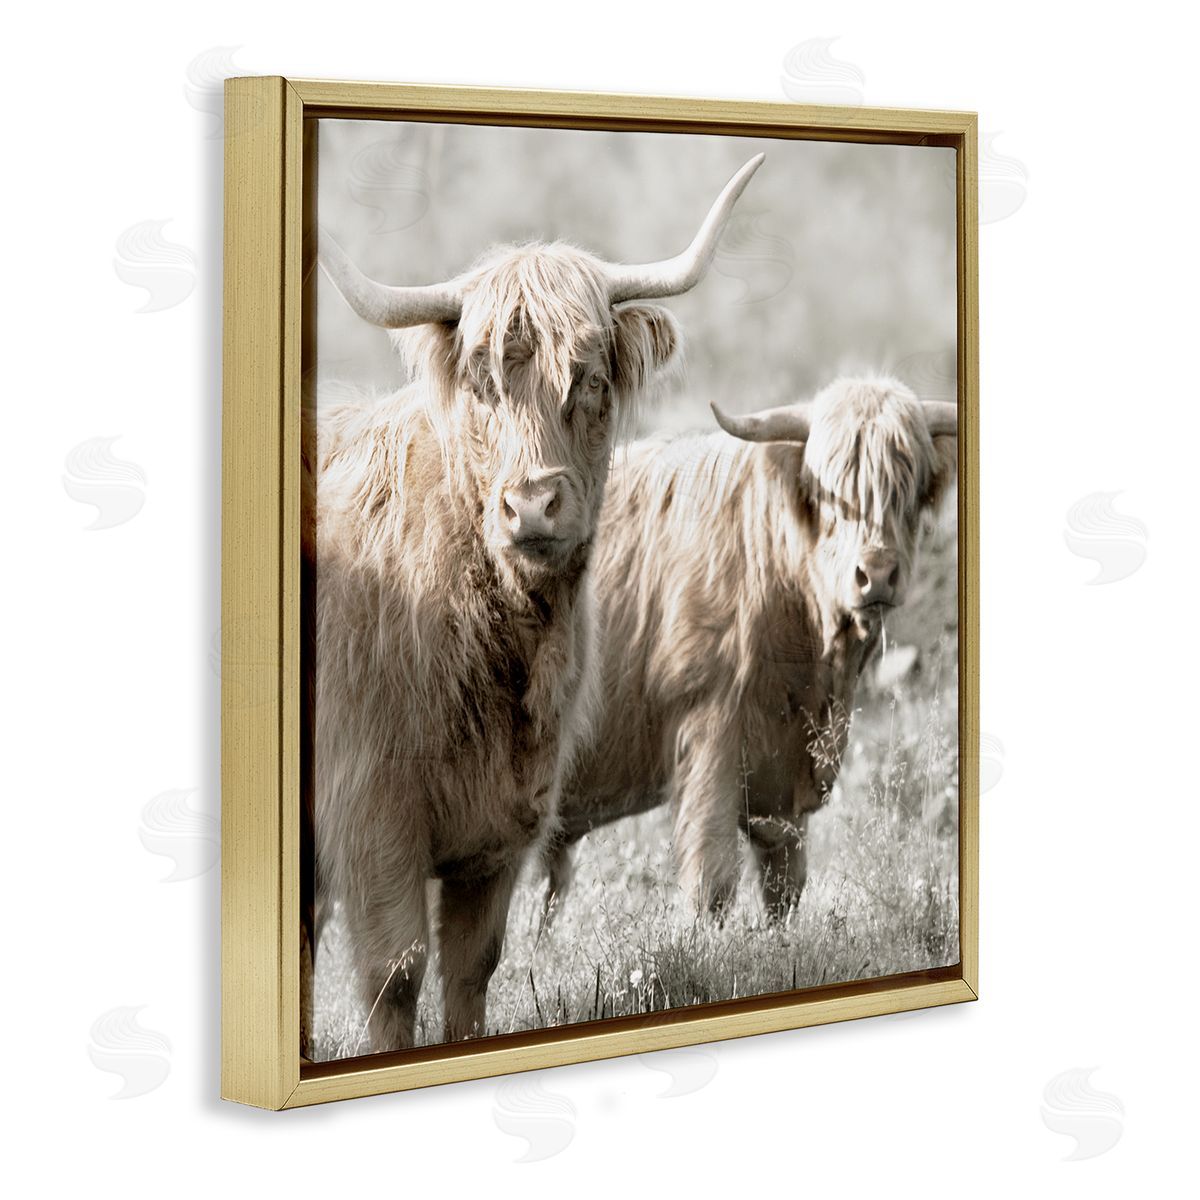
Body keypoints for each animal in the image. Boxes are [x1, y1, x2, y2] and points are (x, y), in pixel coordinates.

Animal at [303, 153, 765, 1054]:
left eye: (589, 378)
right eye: (484, 384)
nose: (533, 505)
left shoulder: (500, 831)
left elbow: (471, 971)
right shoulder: (369, 814)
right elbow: (395, 976)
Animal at [546, 375, 957, 921]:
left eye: (907, 490)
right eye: (828, 495)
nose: (876, 575)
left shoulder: (785, 778)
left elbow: (784, 884)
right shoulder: (710, 733)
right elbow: (712, 880)